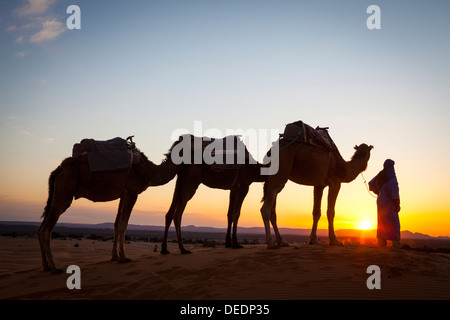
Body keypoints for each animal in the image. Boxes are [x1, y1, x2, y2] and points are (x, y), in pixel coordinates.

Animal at [38, 141, 179, 274]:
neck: (147, 171)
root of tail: (58, 169)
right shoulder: (132, 192)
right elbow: (123, 224)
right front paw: (123, 257)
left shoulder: (123, 194)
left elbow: (116, 224)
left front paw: (115, 257)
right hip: (64, 192)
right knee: (46, 229)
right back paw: (54, 268)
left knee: (41, 228)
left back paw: (45, 266)